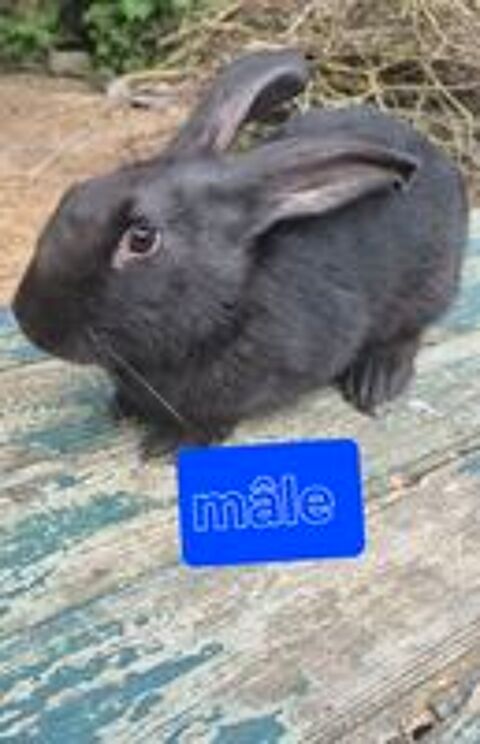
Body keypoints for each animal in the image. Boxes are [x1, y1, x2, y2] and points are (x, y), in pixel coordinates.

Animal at [13, 50, 468, 452]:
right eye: (74, 193)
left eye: (142, 238)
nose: (30, 322)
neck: (228, 298)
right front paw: (122, 406)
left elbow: (218, 413)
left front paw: (174, 440)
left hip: (427, 283)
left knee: (409, 331)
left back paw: (376, 381)